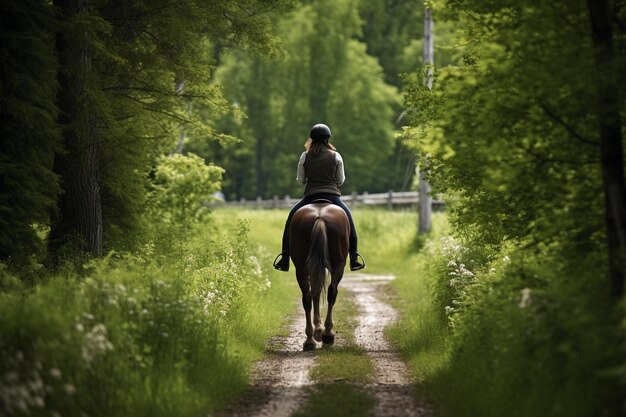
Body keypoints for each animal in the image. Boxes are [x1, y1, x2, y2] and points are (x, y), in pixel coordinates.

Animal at [288, 202, 348, 352]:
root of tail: (319, 217)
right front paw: (320, 330)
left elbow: (315, 293)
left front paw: (318, 330)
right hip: (338, 264)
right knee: (330, 292)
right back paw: (326, 335)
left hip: (302, 268)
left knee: (308, 297)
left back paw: (310, 340)